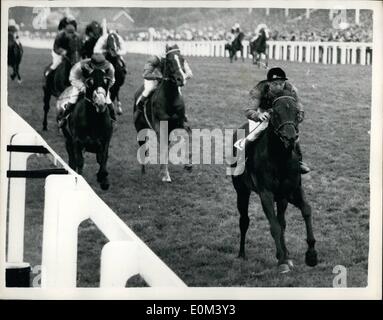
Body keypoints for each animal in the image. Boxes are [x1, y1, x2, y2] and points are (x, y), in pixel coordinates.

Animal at [232, 91, 320, 274]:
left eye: (296, 112)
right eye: (276, 113)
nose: (290, 137)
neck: (280, 159)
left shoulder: (291, 191)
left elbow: (306, 210)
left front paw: (311, 255)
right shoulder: (266, 194)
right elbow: (274, 226)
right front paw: (281, 261)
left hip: (281, 198)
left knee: (282, 221)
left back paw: (287, 253)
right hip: (241, 191)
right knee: (244, 220)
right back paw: (242, 254)